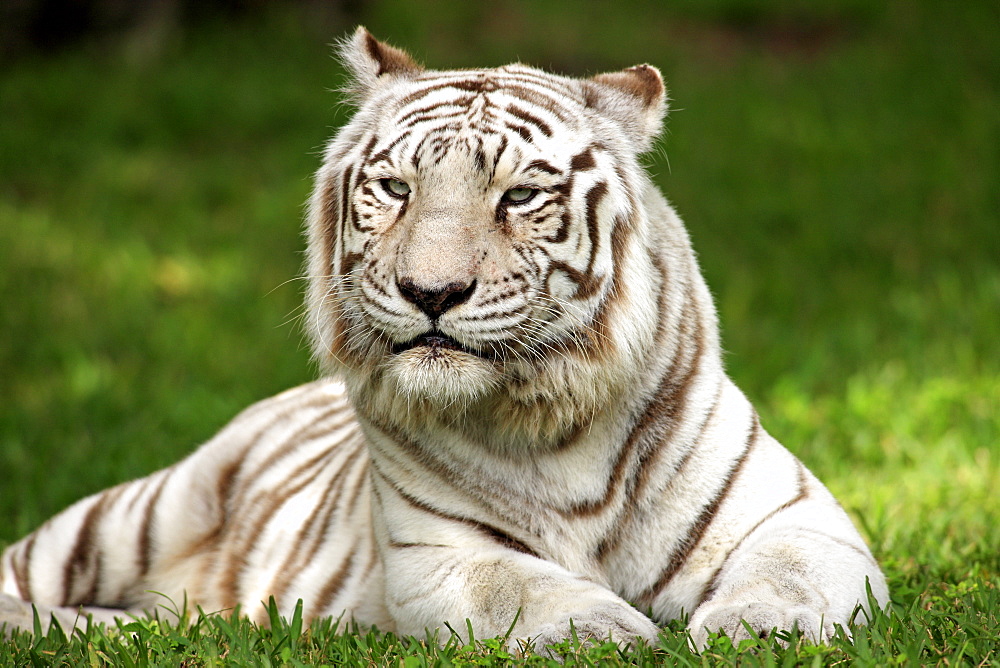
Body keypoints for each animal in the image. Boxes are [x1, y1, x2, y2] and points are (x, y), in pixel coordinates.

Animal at [1, 28, 892, 648]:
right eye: (395, 189)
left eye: (521, 196)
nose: (431, 292)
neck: (552, 421)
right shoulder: (436, 553)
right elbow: (520, 586)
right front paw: (606, 633)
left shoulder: (799, 517)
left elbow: (787, 573)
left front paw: (758, 631)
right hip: (133, 513)